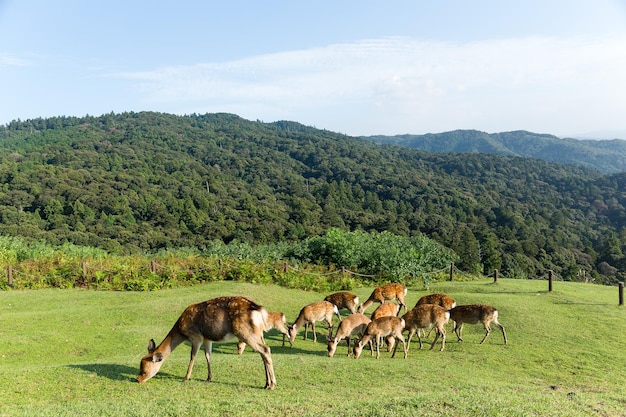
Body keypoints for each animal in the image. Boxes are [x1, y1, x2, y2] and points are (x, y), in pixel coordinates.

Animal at [136, 294, 276, 388]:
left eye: (144, 370)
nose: (138, 379)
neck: (181, 330)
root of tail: (259, 310)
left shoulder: (196, 337)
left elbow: (193, 357)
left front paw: (185, 378)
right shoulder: (207, 339)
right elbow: (208, 356)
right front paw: (209, 378)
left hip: (244, 332)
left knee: (265, 349)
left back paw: (272, 384)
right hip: (259, 333)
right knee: (263, 352)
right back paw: (266, 383)